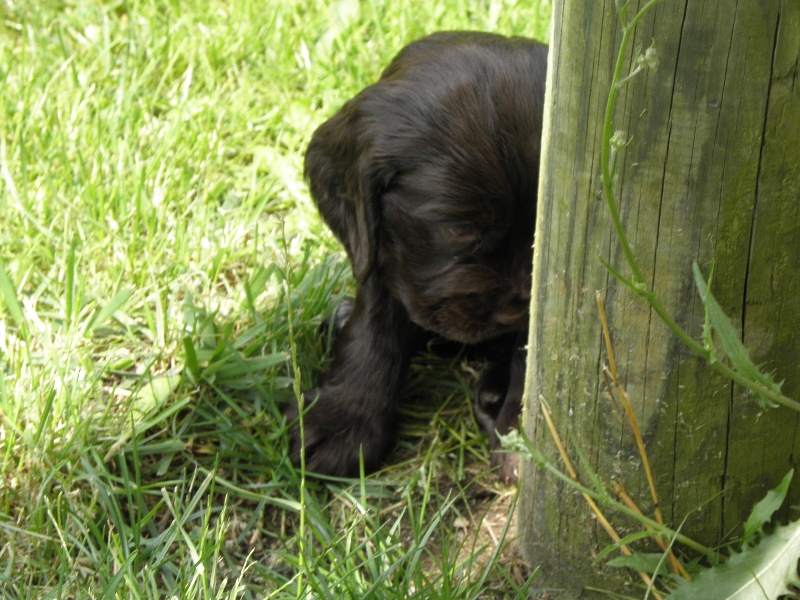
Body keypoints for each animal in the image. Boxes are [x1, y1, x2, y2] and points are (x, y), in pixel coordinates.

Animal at [287, 31, 547, 482]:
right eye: (459, 229)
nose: (514, 310)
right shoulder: (383, 253)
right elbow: (373, 327)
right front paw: (343, 420)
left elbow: (528, 352)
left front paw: (520, 440)